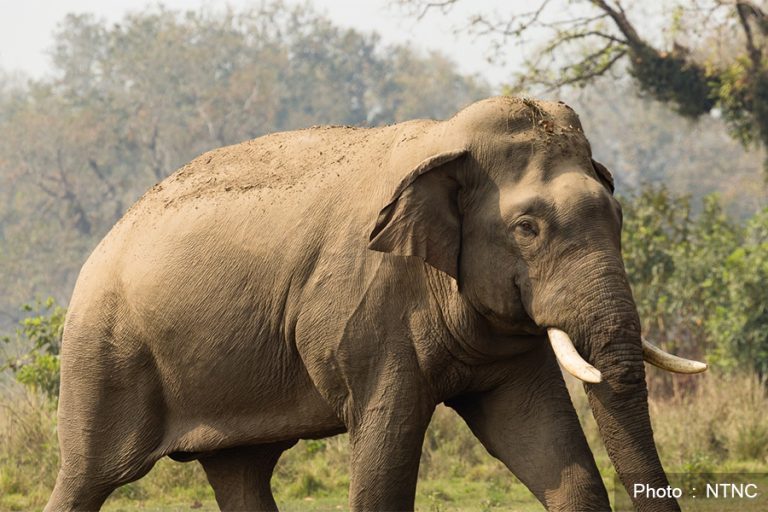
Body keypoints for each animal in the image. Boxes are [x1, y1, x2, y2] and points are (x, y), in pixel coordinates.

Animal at [43, 97, 708, 512]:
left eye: (619, 216)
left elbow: (548, 449)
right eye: (528, 229)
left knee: (241, 472)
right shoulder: (365, 315)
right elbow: (385, 459)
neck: (446, 136)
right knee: (88, 478)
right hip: (104, 356)